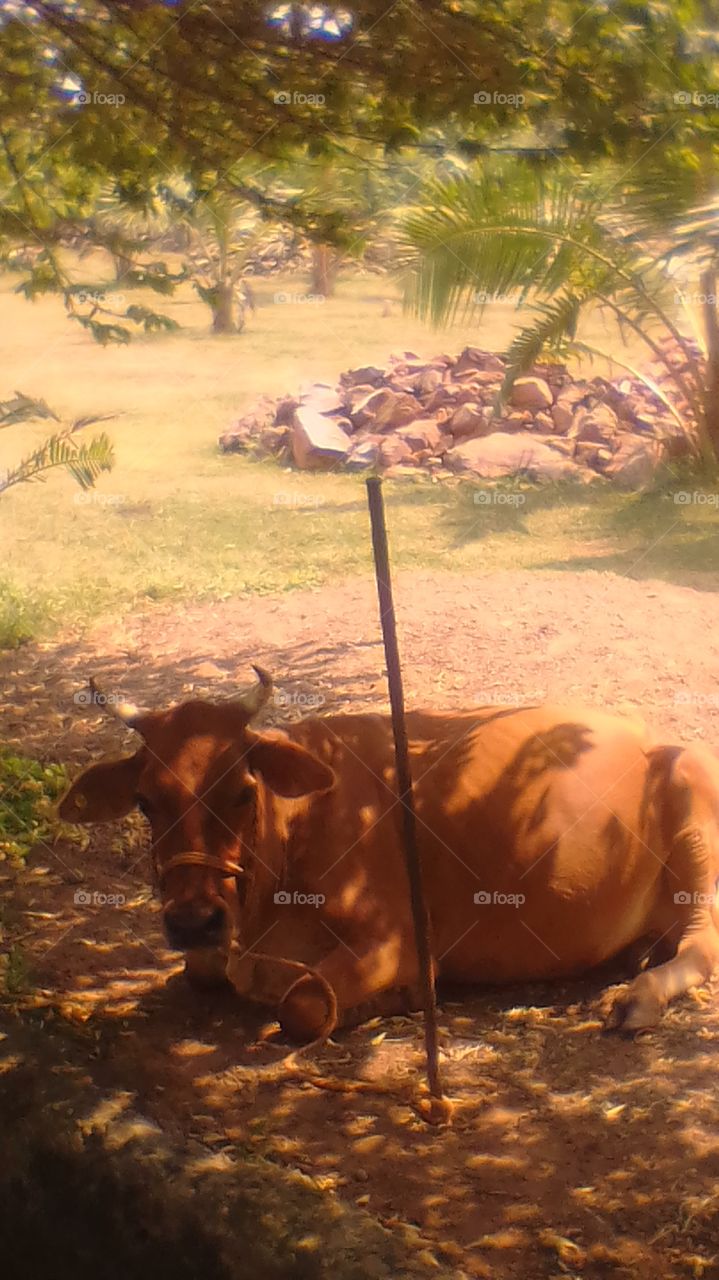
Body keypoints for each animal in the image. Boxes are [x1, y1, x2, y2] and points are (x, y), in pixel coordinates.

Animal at [59, 667, 719, 1042]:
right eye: (145, 801)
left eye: (243, 791)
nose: (193, 919)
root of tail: (654, 737)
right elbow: (197, 971)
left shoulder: (398, 940)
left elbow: (302, 1004)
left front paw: (394, 1002)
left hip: (694, 824)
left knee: (702, 942)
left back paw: (637, 998)